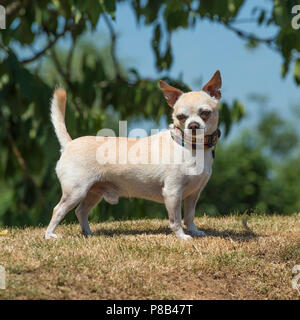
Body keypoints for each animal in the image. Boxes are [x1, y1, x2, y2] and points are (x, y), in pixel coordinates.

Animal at [45, 70, 223, 240]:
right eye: (181, 117)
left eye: (205, 113)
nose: (193, 125)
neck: (191, 147)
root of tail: (69, 143)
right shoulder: (173, 192)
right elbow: (176, 220)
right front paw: (181, 236)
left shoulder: (193, 194)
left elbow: (190, 216)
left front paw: (194, 231)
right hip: (76, 192)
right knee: (58, 210)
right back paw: (49, 235)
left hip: (93, 193)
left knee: (80, 211)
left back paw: (88, 233)